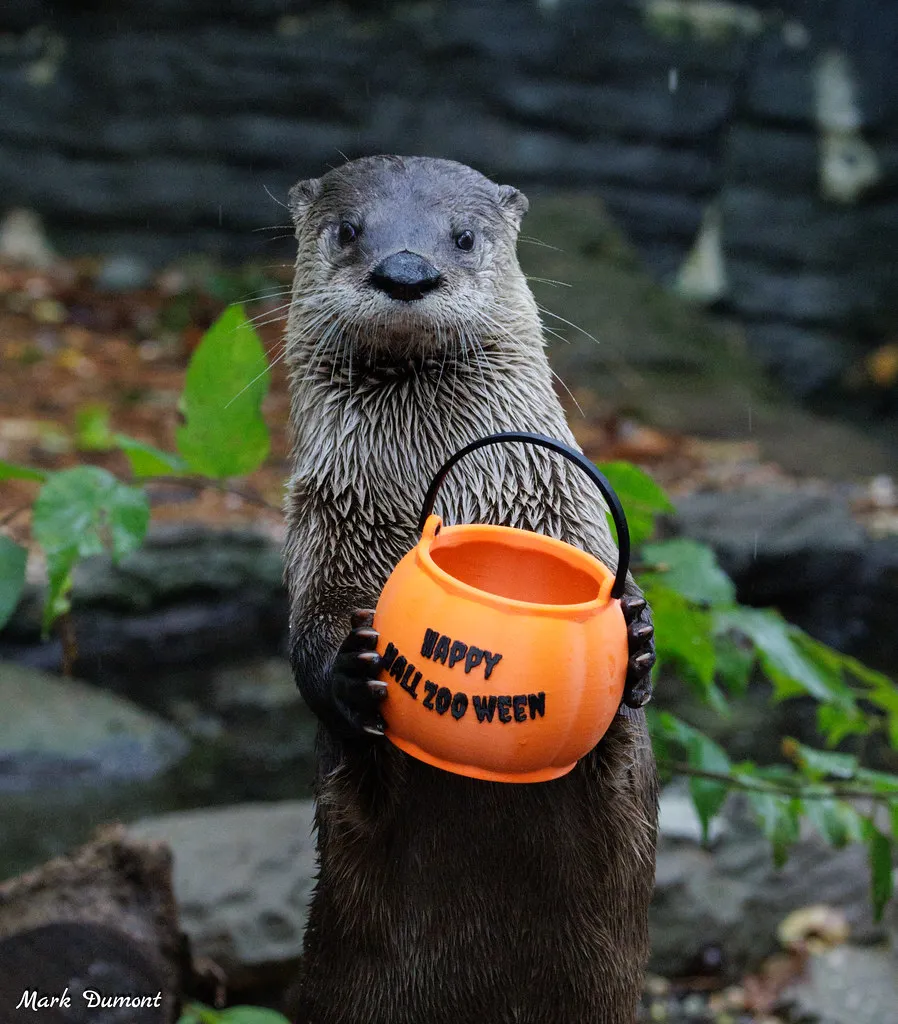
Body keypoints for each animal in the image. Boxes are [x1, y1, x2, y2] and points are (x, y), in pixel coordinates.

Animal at [283, 155, 658, 1024]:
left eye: (461, 236)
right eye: (348, 230)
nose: (406, 270)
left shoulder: (568, 505)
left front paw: (635, 640)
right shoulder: (321, 527)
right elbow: (307, 633)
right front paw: (350, 674)